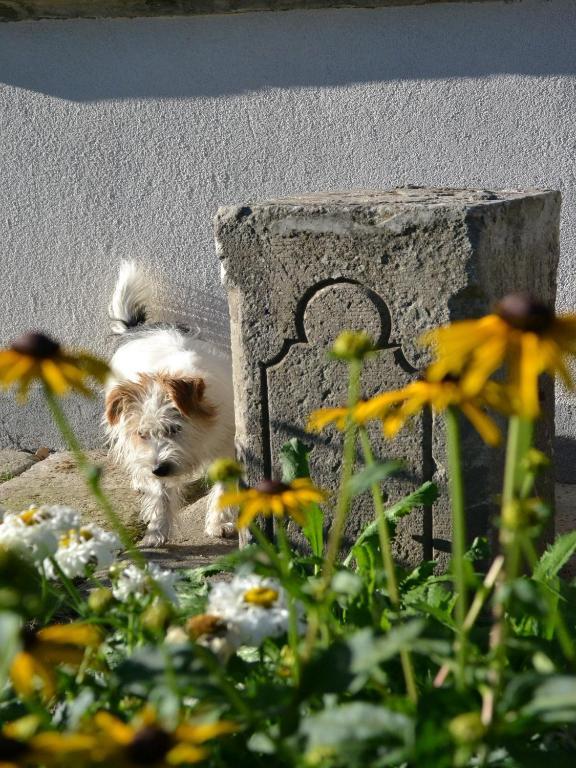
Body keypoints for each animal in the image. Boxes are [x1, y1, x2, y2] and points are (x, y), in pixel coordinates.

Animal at [104, 262, 235, 544]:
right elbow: (160, 495)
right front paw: (157, 530)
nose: (158, 469)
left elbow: (224, 486)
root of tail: (136, 328)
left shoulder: (227, 444)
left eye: (175, 429)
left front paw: (218, 523)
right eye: (143, 434)